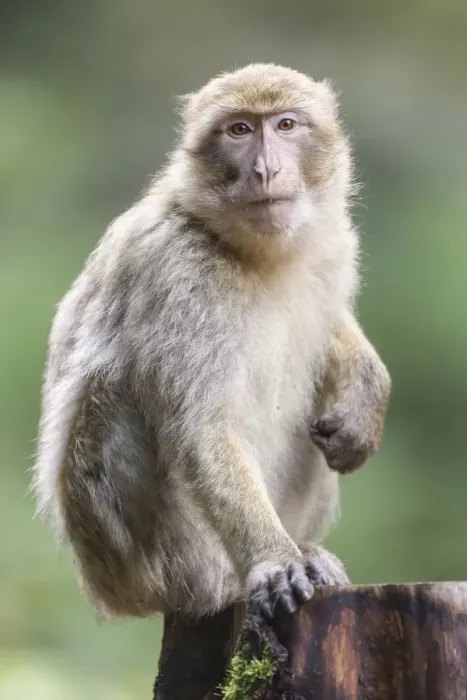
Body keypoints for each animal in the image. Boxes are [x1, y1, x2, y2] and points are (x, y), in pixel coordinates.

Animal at [33, 64, 391, 631]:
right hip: (147, 562)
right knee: (110, 400)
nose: (266, 169)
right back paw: (232, 581)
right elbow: (202, 428)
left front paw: (368, 391)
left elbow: (330, 325)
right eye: (239, 130)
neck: (251, 252)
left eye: (285, 124)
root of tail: (105, 591)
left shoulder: (332, 246)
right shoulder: (178, 273)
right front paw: (274, 561)